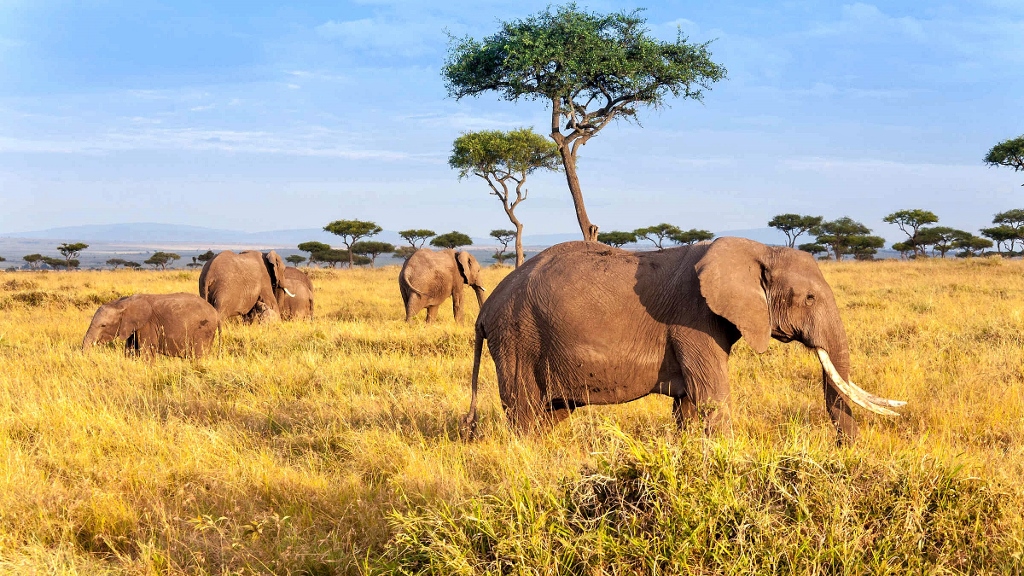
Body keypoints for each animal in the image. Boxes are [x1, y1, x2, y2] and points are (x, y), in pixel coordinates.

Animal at [82, 293, 220, 356]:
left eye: (103, 326)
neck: (124, 303)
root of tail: (216, 314)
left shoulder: (147, 325)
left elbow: (147, 351)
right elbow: (130, 350)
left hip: (203, 330)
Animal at [464, 237, 905, 444]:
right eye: (810, 298)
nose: (846, 452)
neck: (758, 249)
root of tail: (485, 312)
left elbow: (689, 405)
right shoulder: (692, 319)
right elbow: (712, 397)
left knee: (552, 413)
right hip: (517, 336)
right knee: (525, 412)